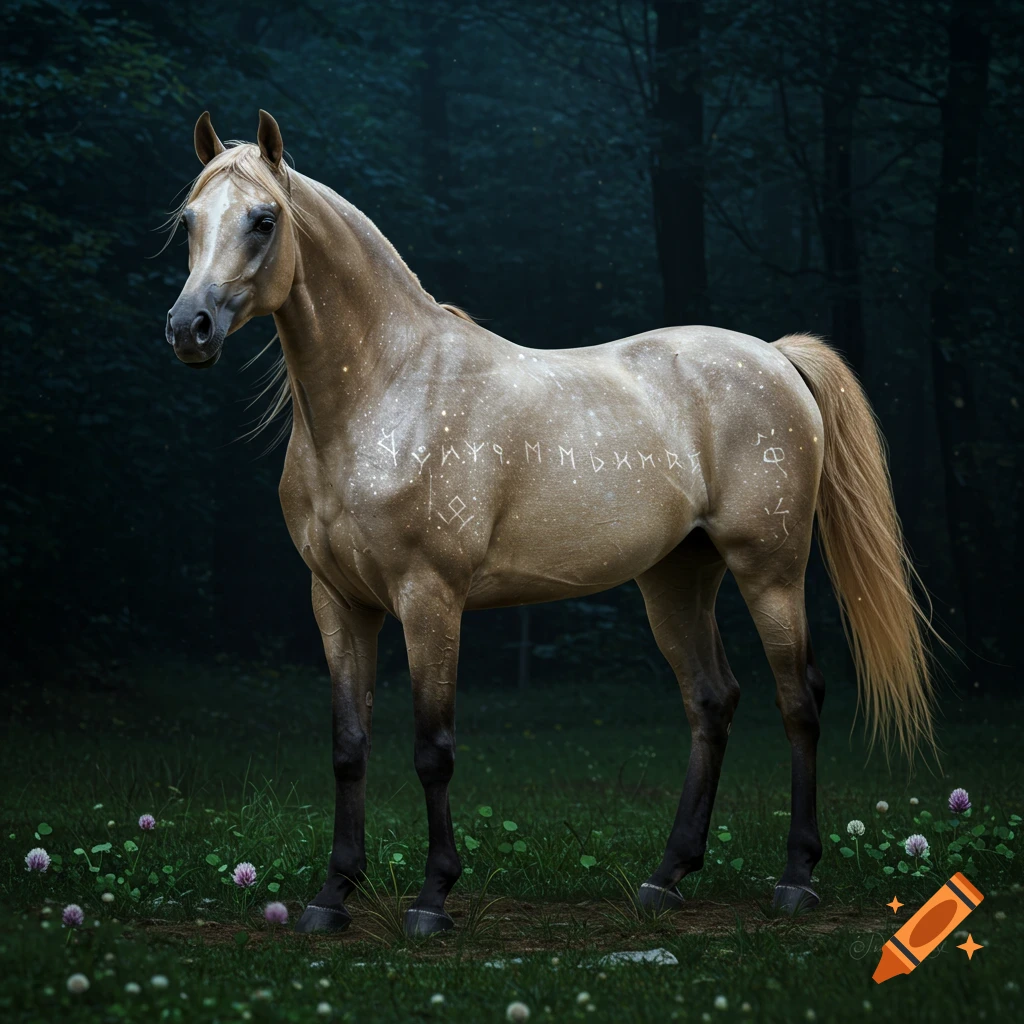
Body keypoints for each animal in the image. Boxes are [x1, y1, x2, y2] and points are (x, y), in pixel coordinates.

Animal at [164, 110, 935, 936]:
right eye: (189, 220)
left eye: (264, 220)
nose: (190, 328)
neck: (390, 391)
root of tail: (777, 357)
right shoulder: (338, 602)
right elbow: (348, 745)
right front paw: (331, 896)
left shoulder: (430, 598)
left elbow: (432, 747)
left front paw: (433, 899)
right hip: (677, 578)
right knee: (711, 700)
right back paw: (667, 876)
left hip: (771, 571)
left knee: (800, 700)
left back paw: (795, 879)